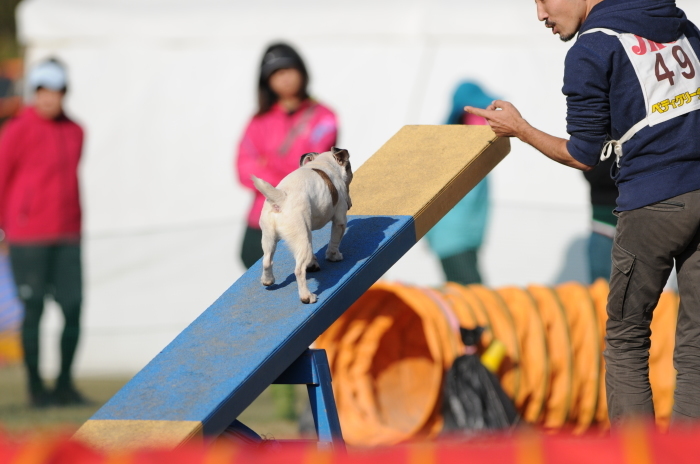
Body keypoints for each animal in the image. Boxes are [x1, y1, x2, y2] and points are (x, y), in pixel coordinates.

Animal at [252, 146, 352, 304]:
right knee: (298, 270)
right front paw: (334, 256)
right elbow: (334, 242)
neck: (323, 163)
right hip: (302, 238)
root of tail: (281, 199)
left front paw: (313, 263)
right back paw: (307, 296)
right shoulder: (340, 220)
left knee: (267, 261)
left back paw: (268, 280)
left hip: (269, 238)